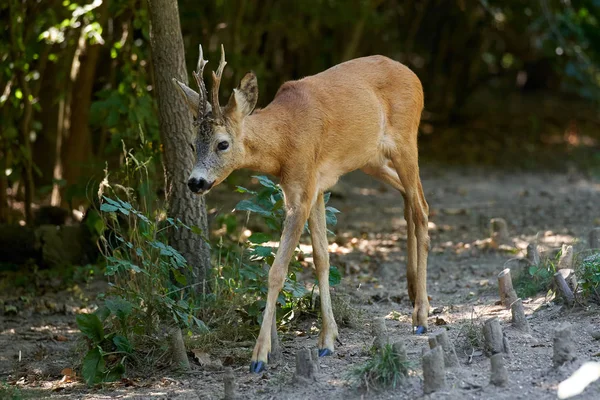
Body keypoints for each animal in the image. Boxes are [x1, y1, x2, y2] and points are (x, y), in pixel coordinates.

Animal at [171, 45, 428, 374]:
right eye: (192, 144)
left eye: (222, 144)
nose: (195, 182)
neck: (283, 142)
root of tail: (414, 76)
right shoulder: (314, 188)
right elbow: (321, 258)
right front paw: (327, 340)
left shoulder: (301, 192)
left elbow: (277, 271)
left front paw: (260, 356)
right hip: (372, 159)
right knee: (410, 198)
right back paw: (412, 290)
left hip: (406, 140)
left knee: (421, 208)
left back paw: (421, 315)